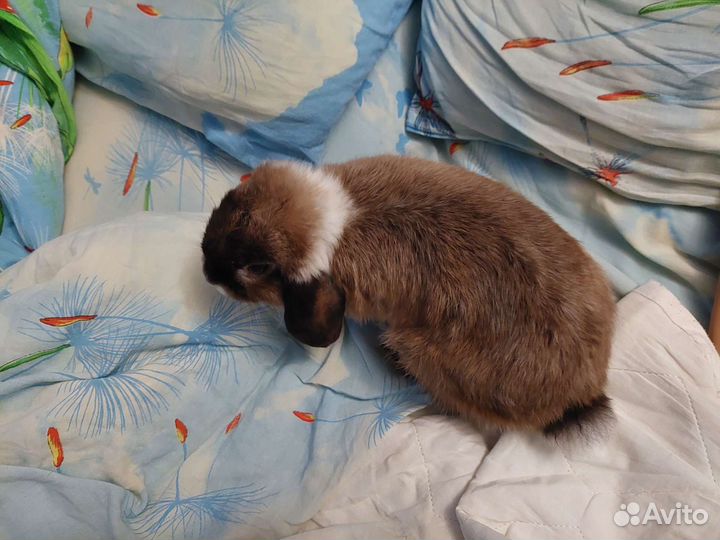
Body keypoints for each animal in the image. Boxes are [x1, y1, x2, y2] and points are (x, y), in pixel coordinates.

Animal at [202, 155, 616, 436]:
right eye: (237, 213)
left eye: (258, 267)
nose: (207, 270)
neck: (340, 221)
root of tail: (583, 395)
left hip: (415, 347)